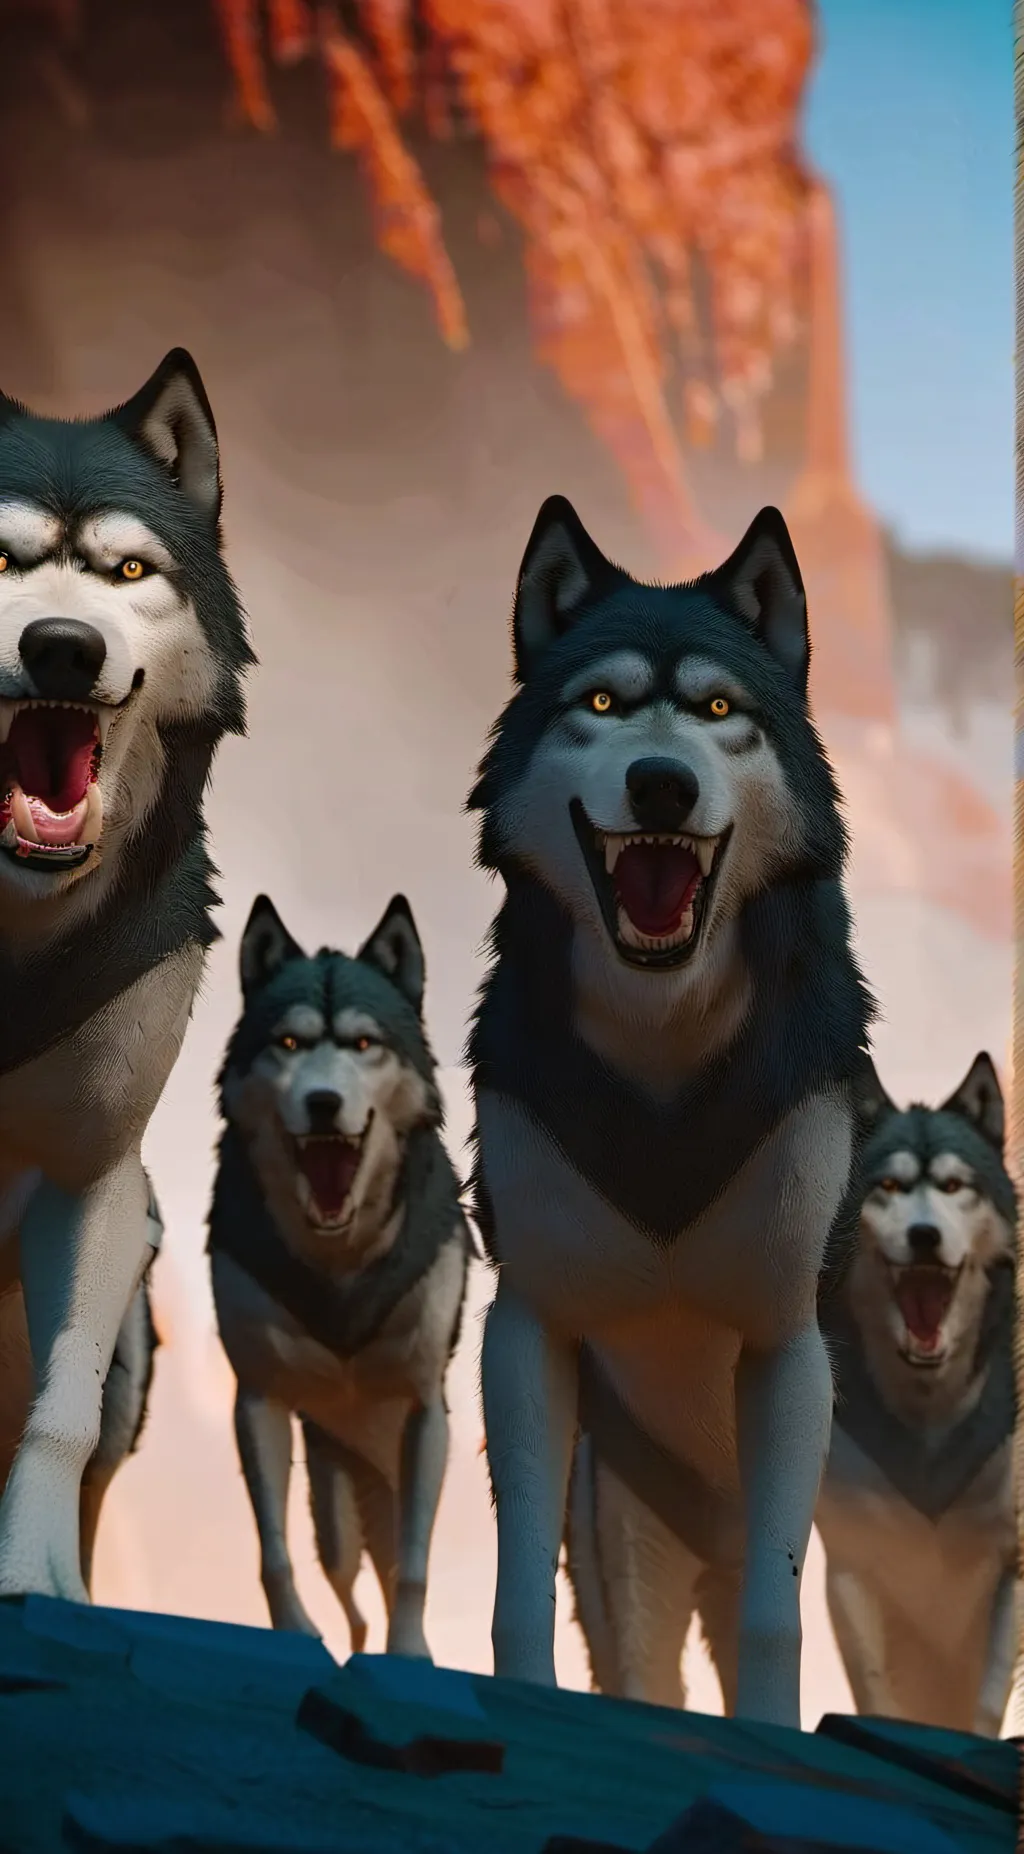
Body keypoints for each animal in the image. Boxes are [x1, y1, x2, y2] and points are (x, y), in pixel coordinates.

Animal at [209, 893, 470, 1658]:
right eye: (290, 1044)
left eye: (362, 1045)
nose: (323, 1102)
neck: (340, 1261)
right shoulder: (257, 1398)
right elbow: (272, 1553)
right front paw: (295, 1636)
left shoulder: (426, 1410)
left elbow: (414, 1566)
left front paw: (410, 1656)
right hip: (335, 1523)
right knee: (351, 1599)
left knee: (382, 1577)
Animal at [469, 496, 873, 1728]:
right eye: (600, 704)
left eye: (717, 710)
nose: (660, 784)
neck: (663, 1040)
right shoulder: (529, 1326)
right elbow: (514, 1592)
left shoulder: (787, 1348)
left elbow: (776, 1617)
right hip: (626, 1539)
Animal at [815, 1053, 1019, 1736]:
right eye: (888, 1186)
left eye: (954, 1186)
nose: (926, 1236)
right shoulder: (851, 1567)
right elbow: (875, 1692)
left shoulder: (1011, 1565)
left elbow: (985, 1705)